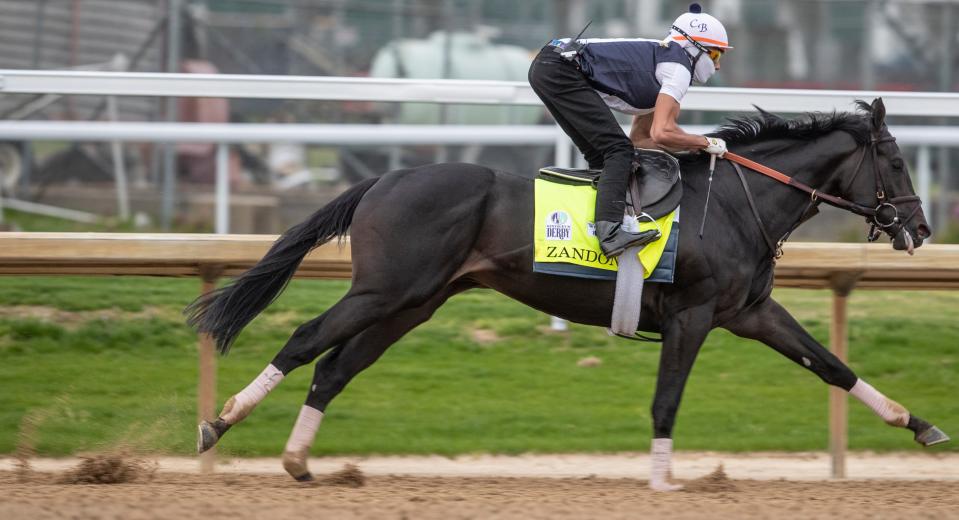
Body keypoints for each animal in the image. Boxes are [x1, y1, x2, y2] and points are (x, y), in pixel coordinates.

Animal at [186, 98, 944, 492]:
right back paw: (218, 423)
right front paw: (663, 481)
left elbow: (832, 365)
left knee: (334, 367)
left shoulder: (750, 312)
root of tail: (383, 178)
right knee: (305, 340)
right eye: (896, 159)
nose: (920, 228)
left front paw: (919, 424)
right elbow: (667, 399)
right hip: (385, 288)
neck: (737, 203)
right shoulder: (694, 315)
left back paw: (298, 459)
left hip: (415, 301)